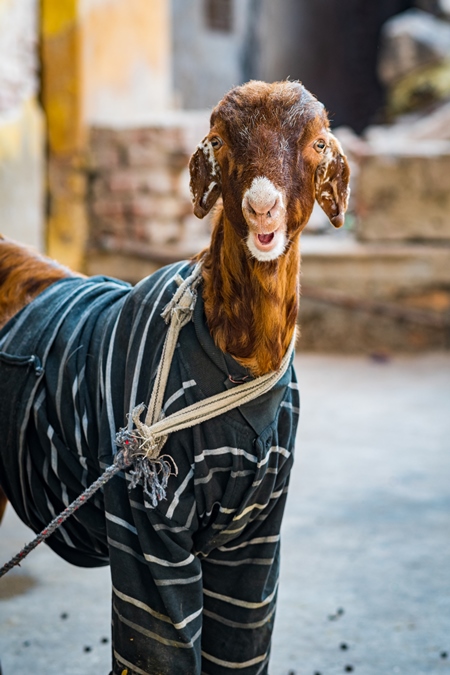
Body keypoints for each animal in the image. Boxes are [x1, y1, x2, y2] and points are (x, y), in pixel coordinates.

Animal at [0, 82, 350, 672]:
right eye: (218, 141)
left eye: (319, 143)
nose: (262, 207)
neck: (233, 364)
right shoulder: (147, 524)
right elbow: (159, 643)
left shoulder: (257, 533)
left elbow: (241, 639)